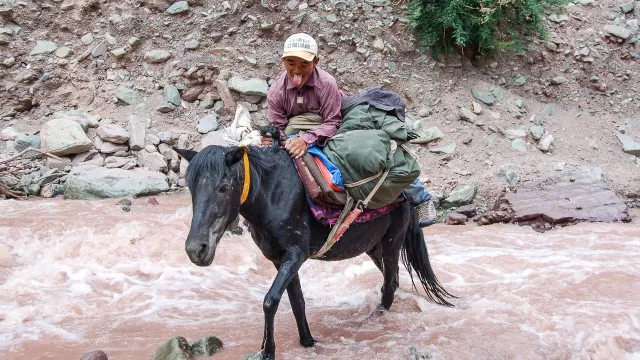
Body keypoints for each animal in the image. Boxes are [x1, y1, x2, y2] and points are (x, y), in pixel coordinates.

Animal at [175, 132, 456, 360]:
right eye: (191, 188)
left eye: (223, 188)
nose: (196, 250)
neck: (271, 193)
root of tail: (408, 193)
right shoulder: (279, 259)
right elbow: (296, 300)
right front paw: (307, 341)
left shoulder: (295, 254)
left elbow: (270, 301)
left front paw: (267, 351)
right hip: (373, 248)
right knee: (393, 280)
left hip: (391, 243)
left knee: (388, 286)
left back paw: (376, 323)